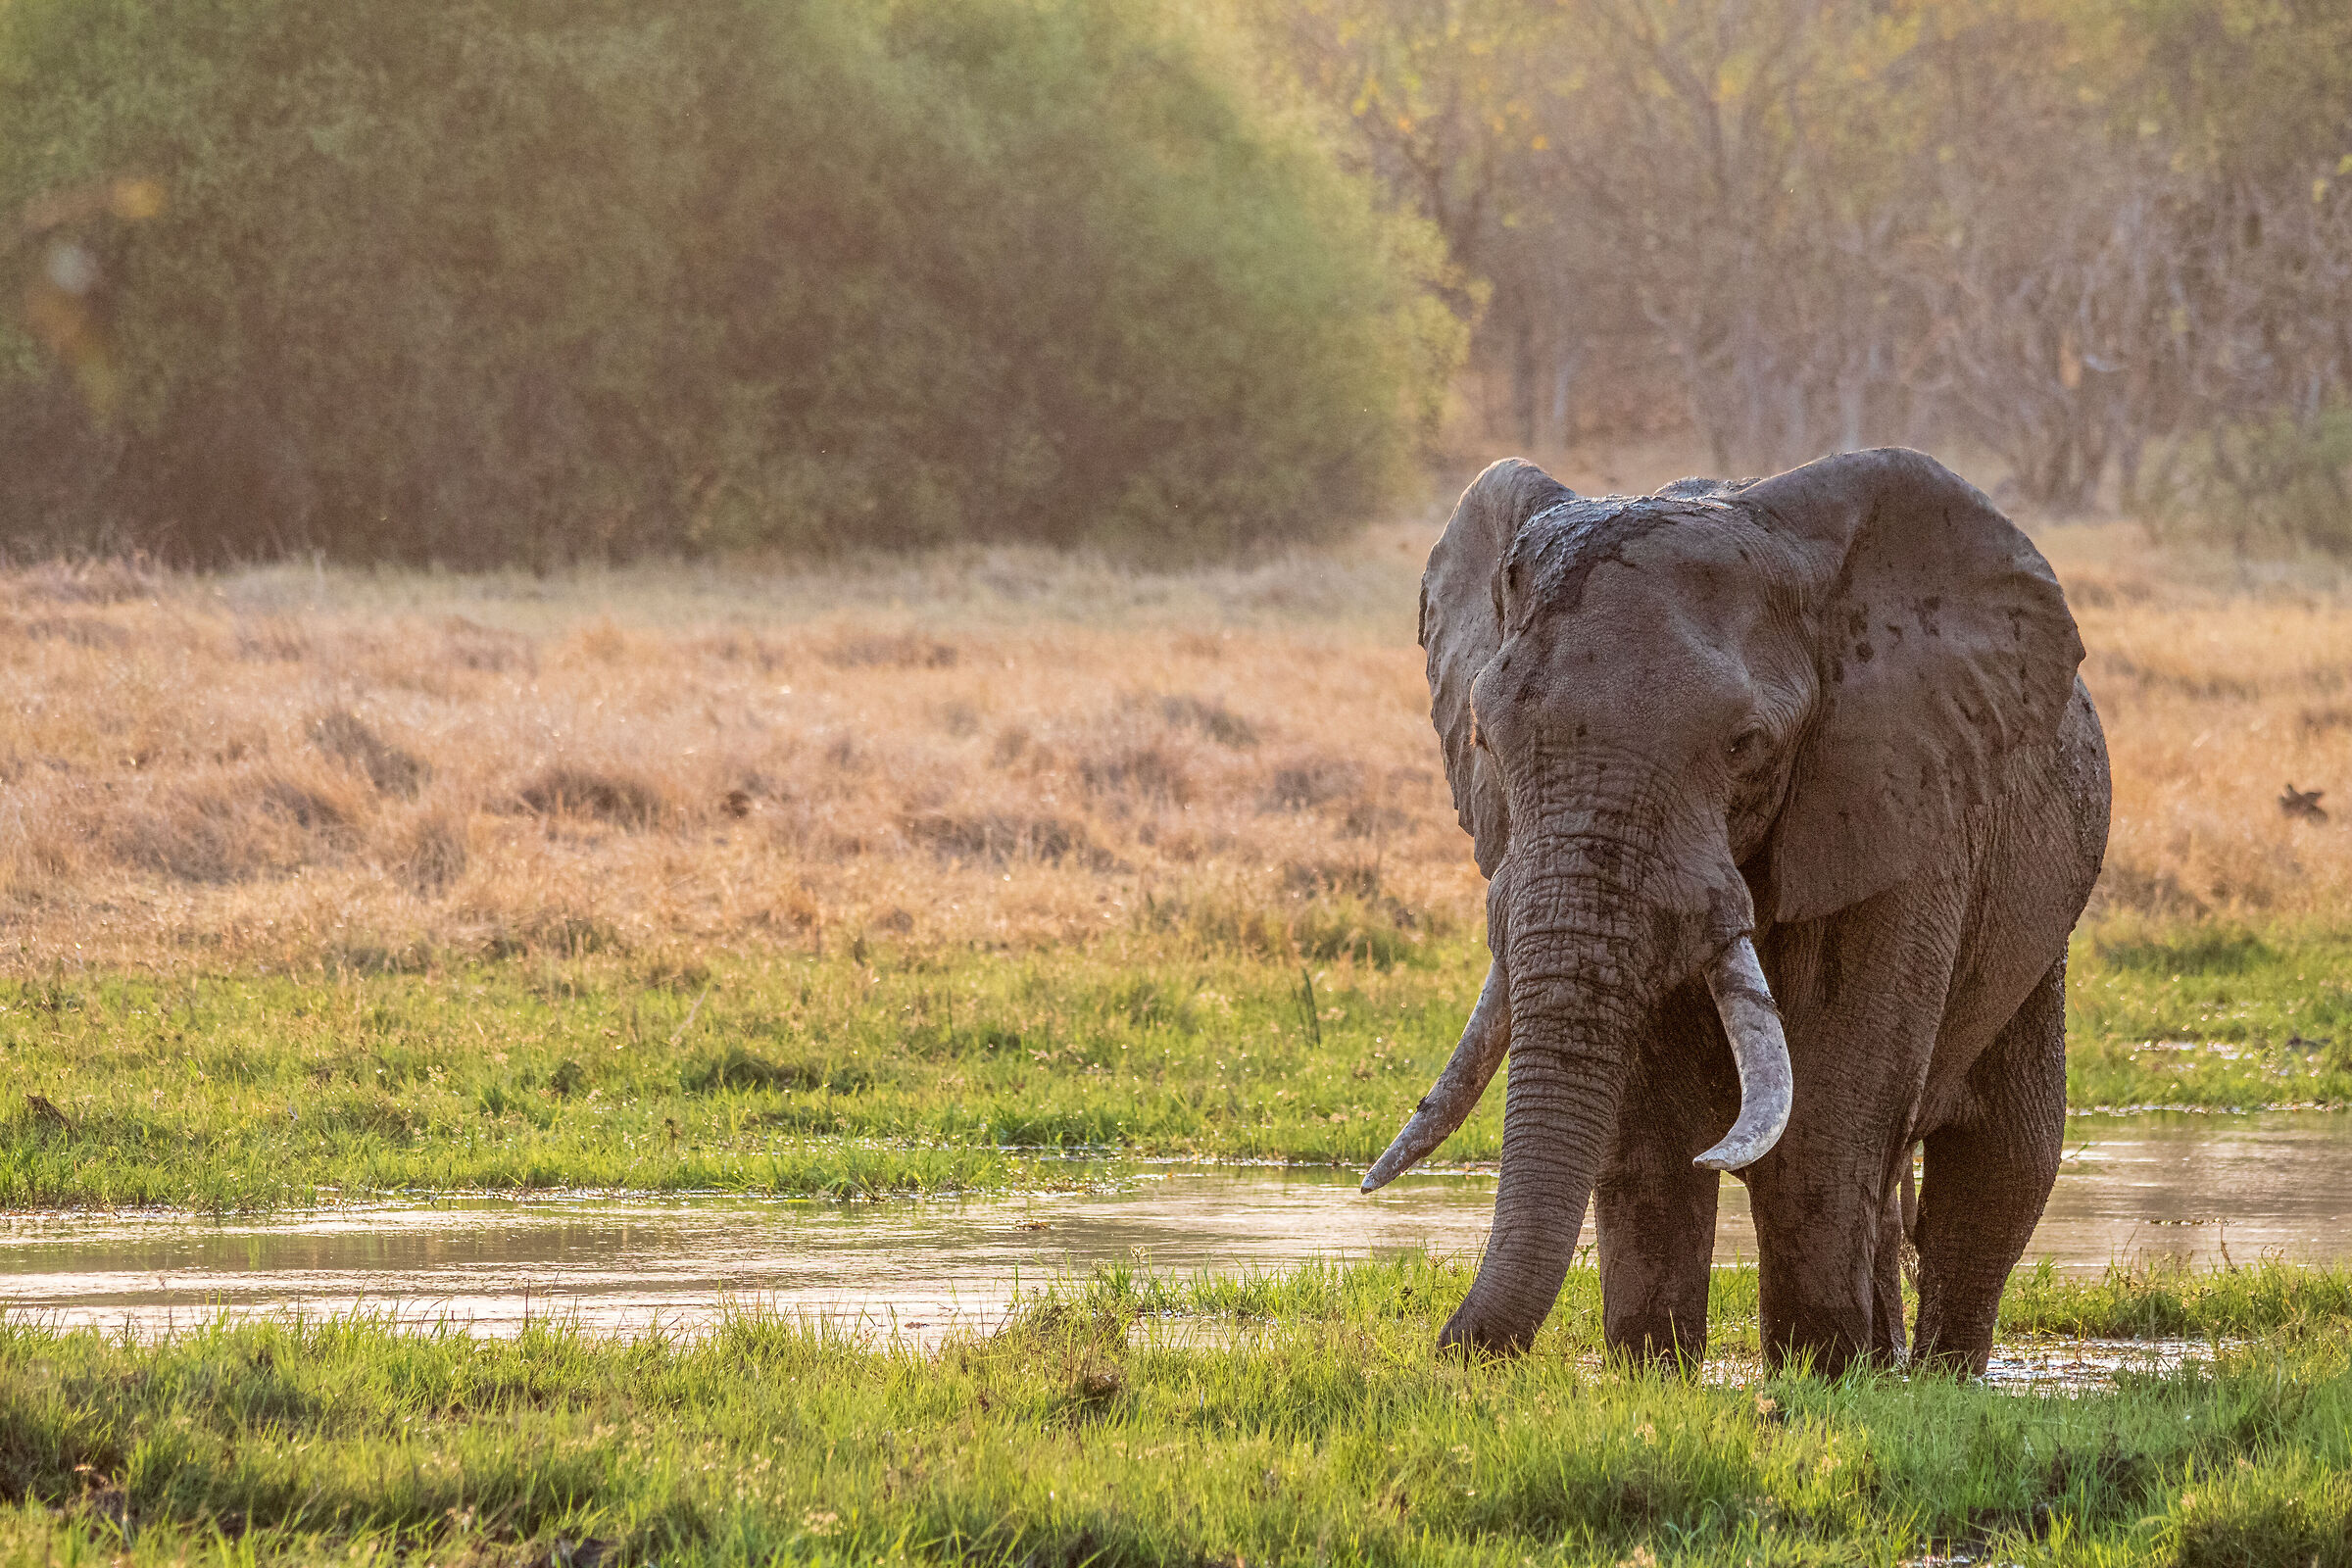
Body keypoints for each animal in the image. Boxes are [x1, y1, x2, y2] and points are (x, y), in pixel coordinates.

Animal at [1362, 447, 2110, 1376]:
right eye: (1483, 741)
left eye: (1745, 745)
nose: (1454, 1350)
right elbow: (1646, 1137)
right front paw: (1654, 1375)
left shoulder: (1901, 808)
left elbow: (1827, 1120)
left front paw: (1818, 1376)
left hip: (2040, 908)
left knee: (2000, 1164)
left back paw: (1933, 1378)